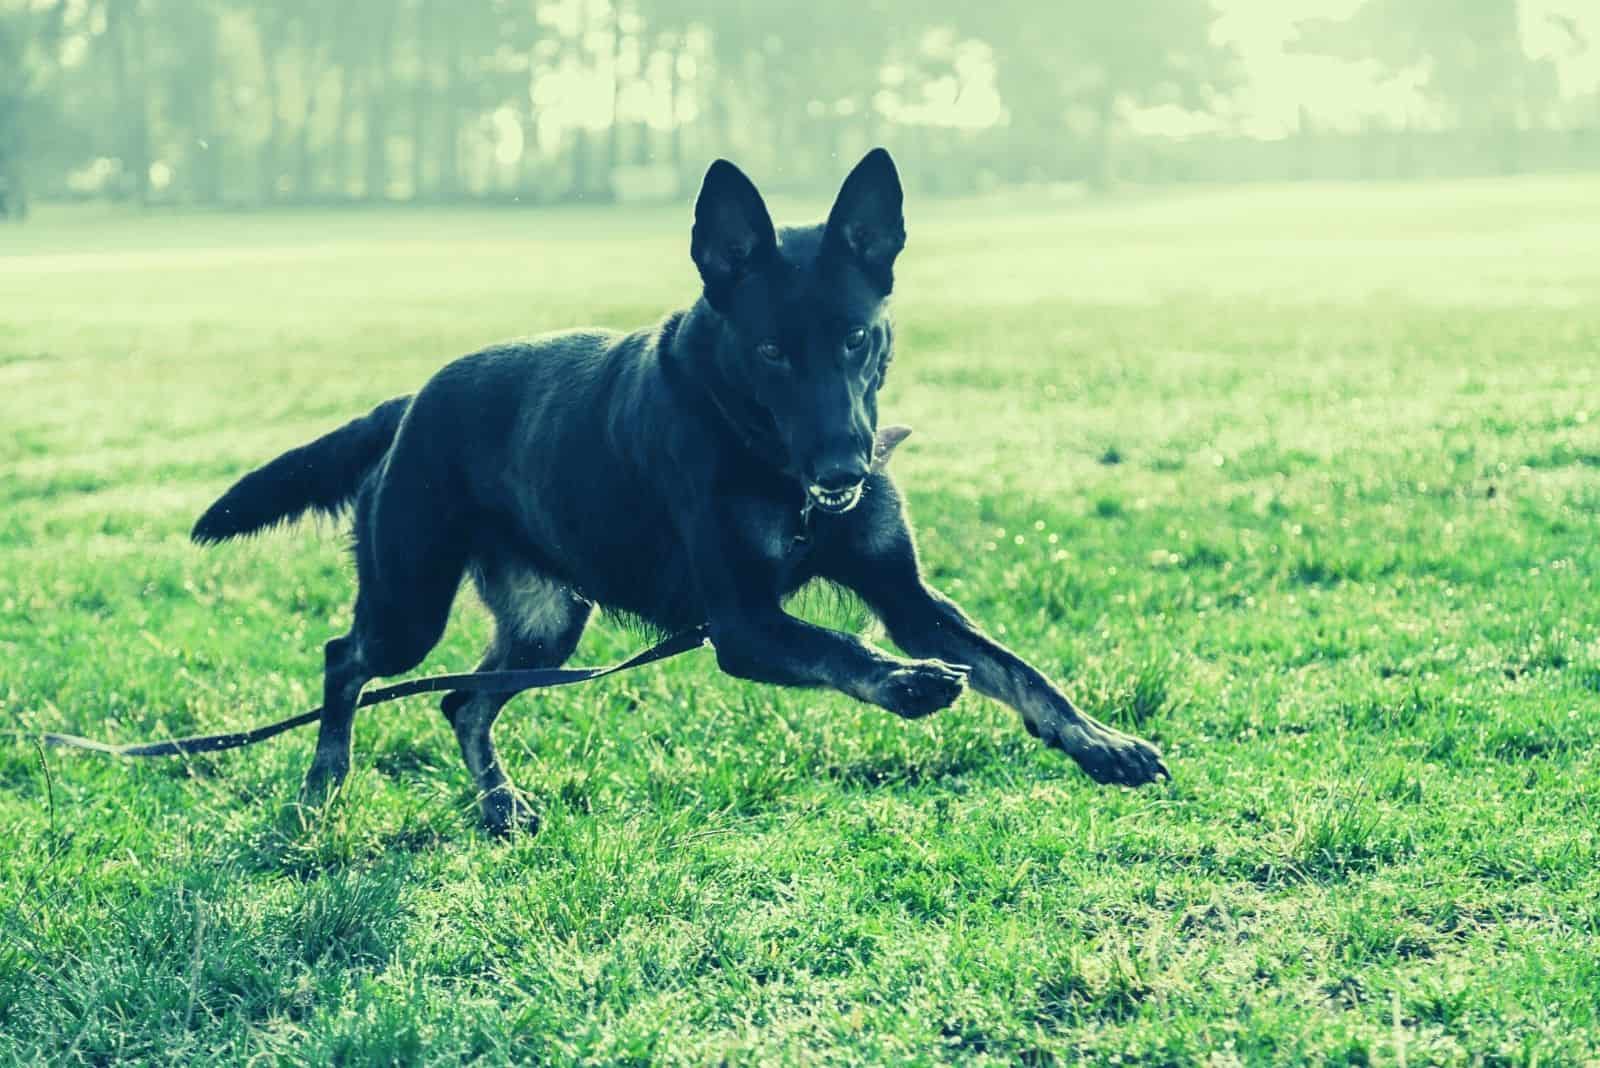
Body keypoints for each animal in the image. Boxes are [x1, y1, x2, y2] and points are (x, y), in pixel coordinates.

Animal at [193, 150, 1171, 831]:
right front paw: (904, 682)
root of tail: (409, 403)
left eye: (856, 338)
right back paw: (324, 782)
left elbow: (1019, 669)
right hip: (411, 602)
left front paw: (1099, 742)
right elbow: (840, 647)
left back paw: (499, 803)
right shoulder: (742, 623)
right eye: (772, 351)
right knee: (348, 659)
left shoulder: (907, 595)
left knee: (461, 700)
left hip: (549, 622)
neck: (766, 456)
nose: (845, 472)